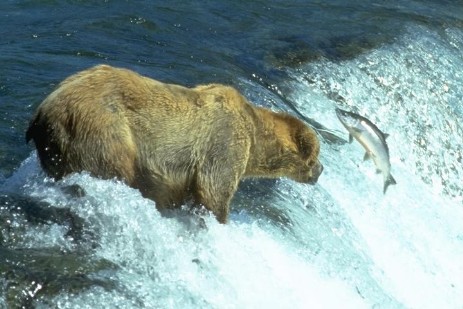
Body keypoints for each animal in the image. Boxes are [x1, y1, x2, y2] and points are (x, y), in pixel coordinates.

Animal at [25, 65, 322, 223]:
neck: (255, 136)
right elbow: (214, 190)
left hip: (59, 144)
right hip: (102, 129)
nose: (320, 170)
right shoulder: (224, 142)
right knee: (114, 166)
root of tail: (42, 110)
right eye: (316, 155)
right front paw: (219, 218)